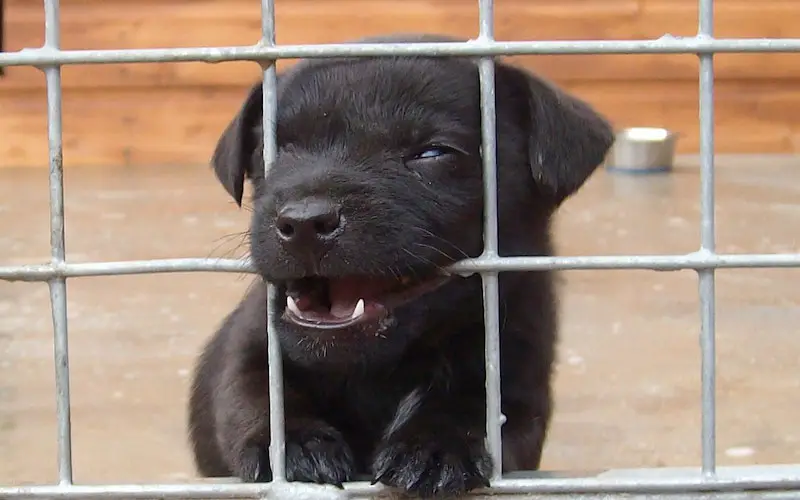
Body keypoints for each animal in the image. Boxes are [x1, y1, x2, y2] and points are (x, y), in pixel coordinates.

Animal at [188, 33, 612, 498]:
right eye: (272, 150)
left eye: (433, 153)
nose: (304, 222)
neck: (377, 369)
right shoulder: (250, 344)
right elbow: (252, 392)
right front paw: (294, 441)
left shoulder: (518, 372)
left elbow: (482, 404)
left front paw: (437, 443)